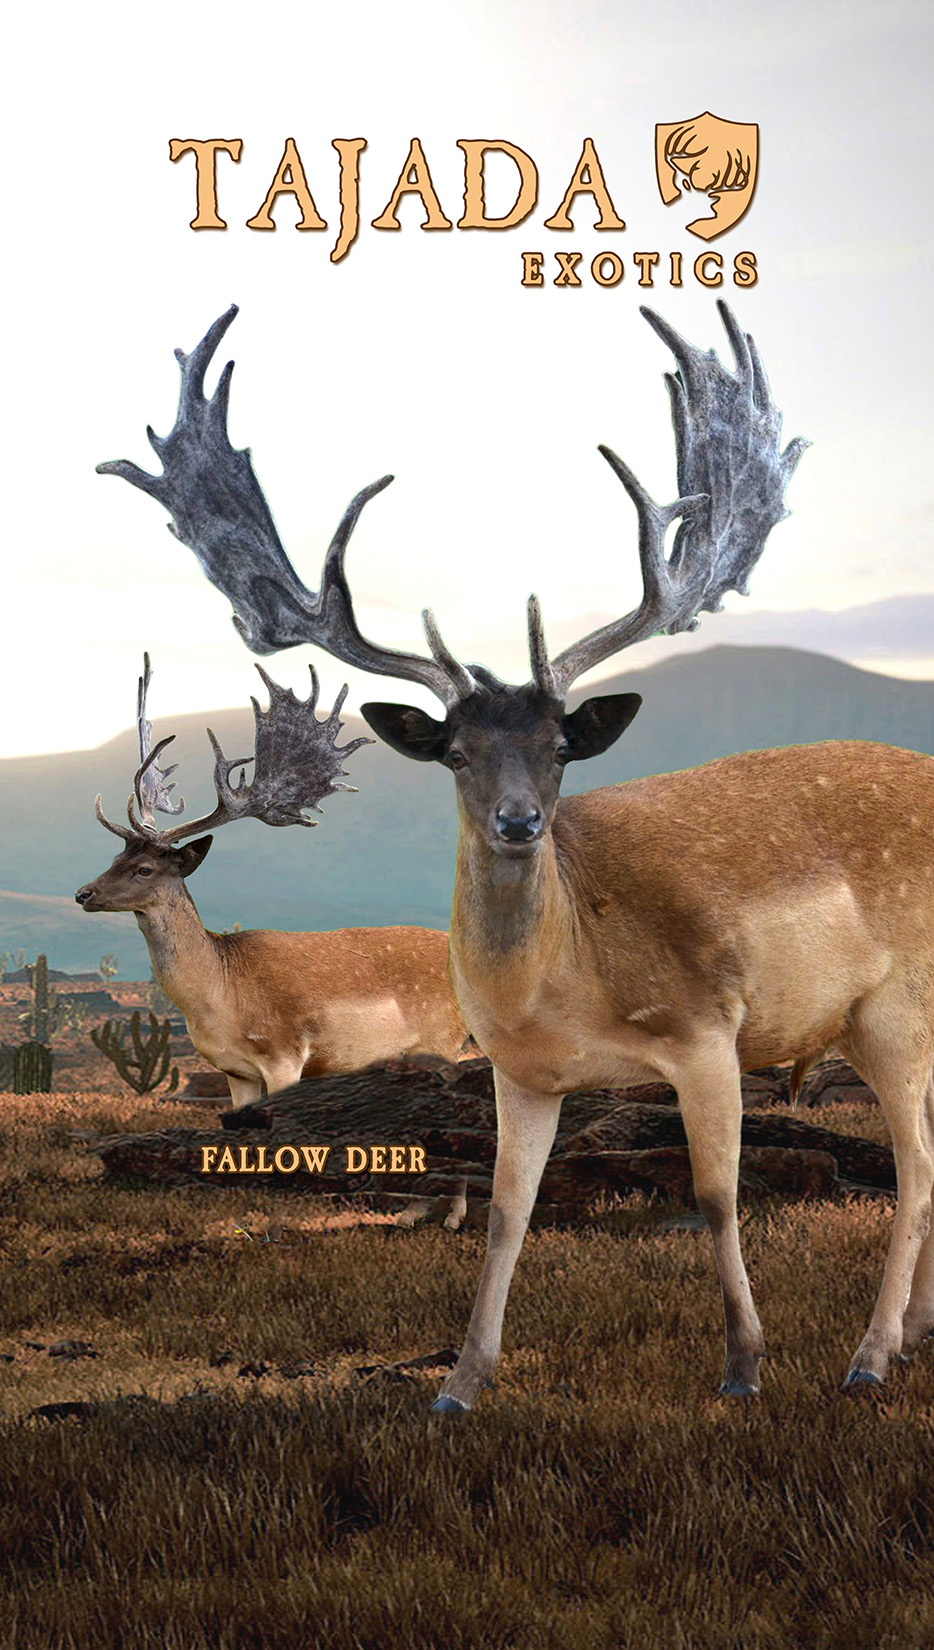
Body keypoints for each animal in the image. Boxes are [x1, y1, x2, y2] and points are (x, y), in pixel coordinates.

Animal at [76, 657, 470, 1173]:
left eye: (145, 869)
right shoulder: (236, 1072)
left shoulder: (285, 1055)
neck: (219, 997)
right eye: (114, 857)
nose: (83, 893)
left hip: (443, 1041)